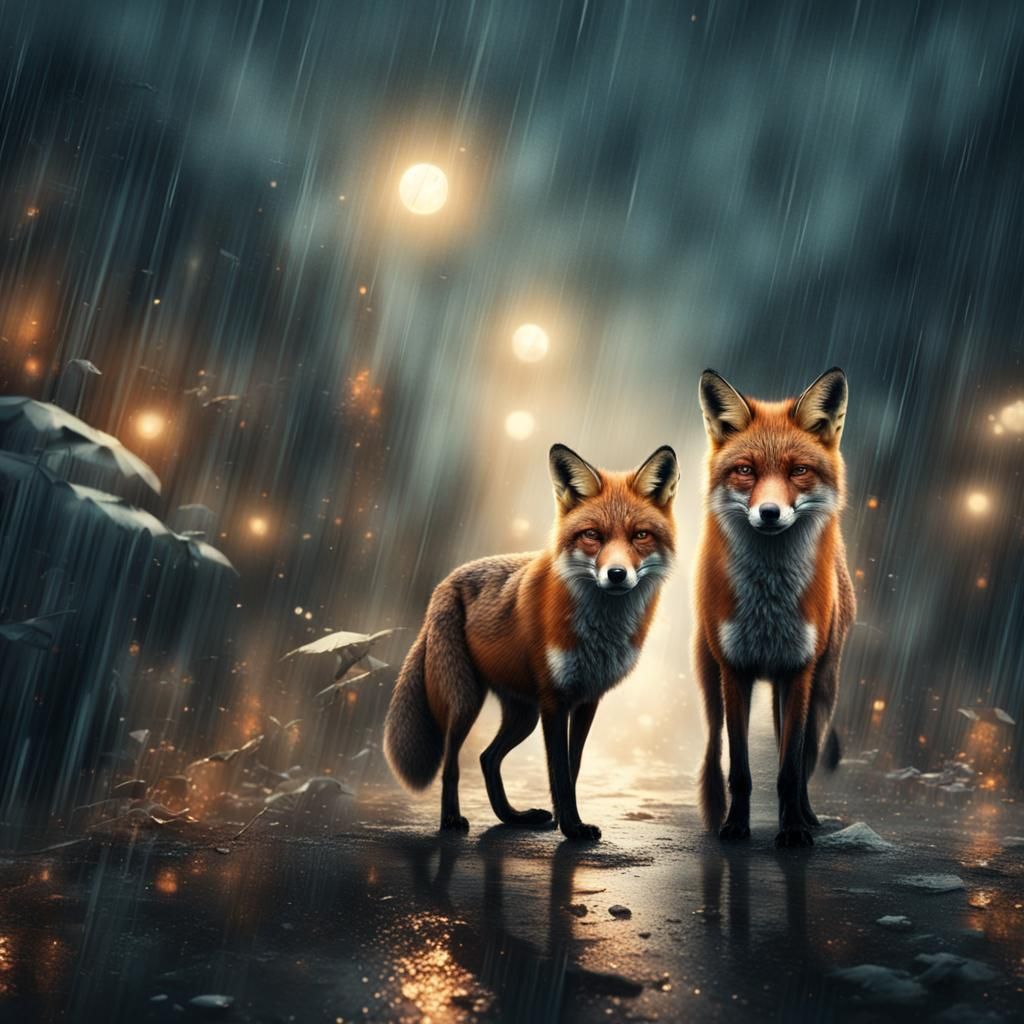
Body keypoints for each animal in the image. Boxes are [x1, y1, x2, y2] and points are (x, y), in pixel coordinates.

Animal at [384, 443, 679, 841]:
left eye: (640, 536)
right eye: (592, 535)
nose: (616, 574)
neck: (601, 630)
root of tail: (445, 582)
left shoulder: (587, 700)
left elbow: (572, 766)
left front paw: (563, 822)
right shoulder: (554, 701)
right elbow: (559, 769)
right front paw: (572, 827)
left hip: (523, 714)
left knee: (487, 758)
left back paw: (513, 817)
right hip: (466, 701)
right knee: (452, 763)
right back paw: (451, 821)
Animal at [694, 367, 855, 848]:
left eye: (798, 470)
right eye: (745, 470)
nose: (769, 513)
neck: (768, 605)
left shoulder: (799, 671)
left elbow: (789, 770)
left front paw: (794, 831)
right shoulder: (734, 671)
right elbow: (740, 770)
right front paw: (734, 827)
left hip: (821, 691)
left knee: (803, 761)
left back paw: (806, 816)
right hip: (709, 682)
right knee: (714, 748)